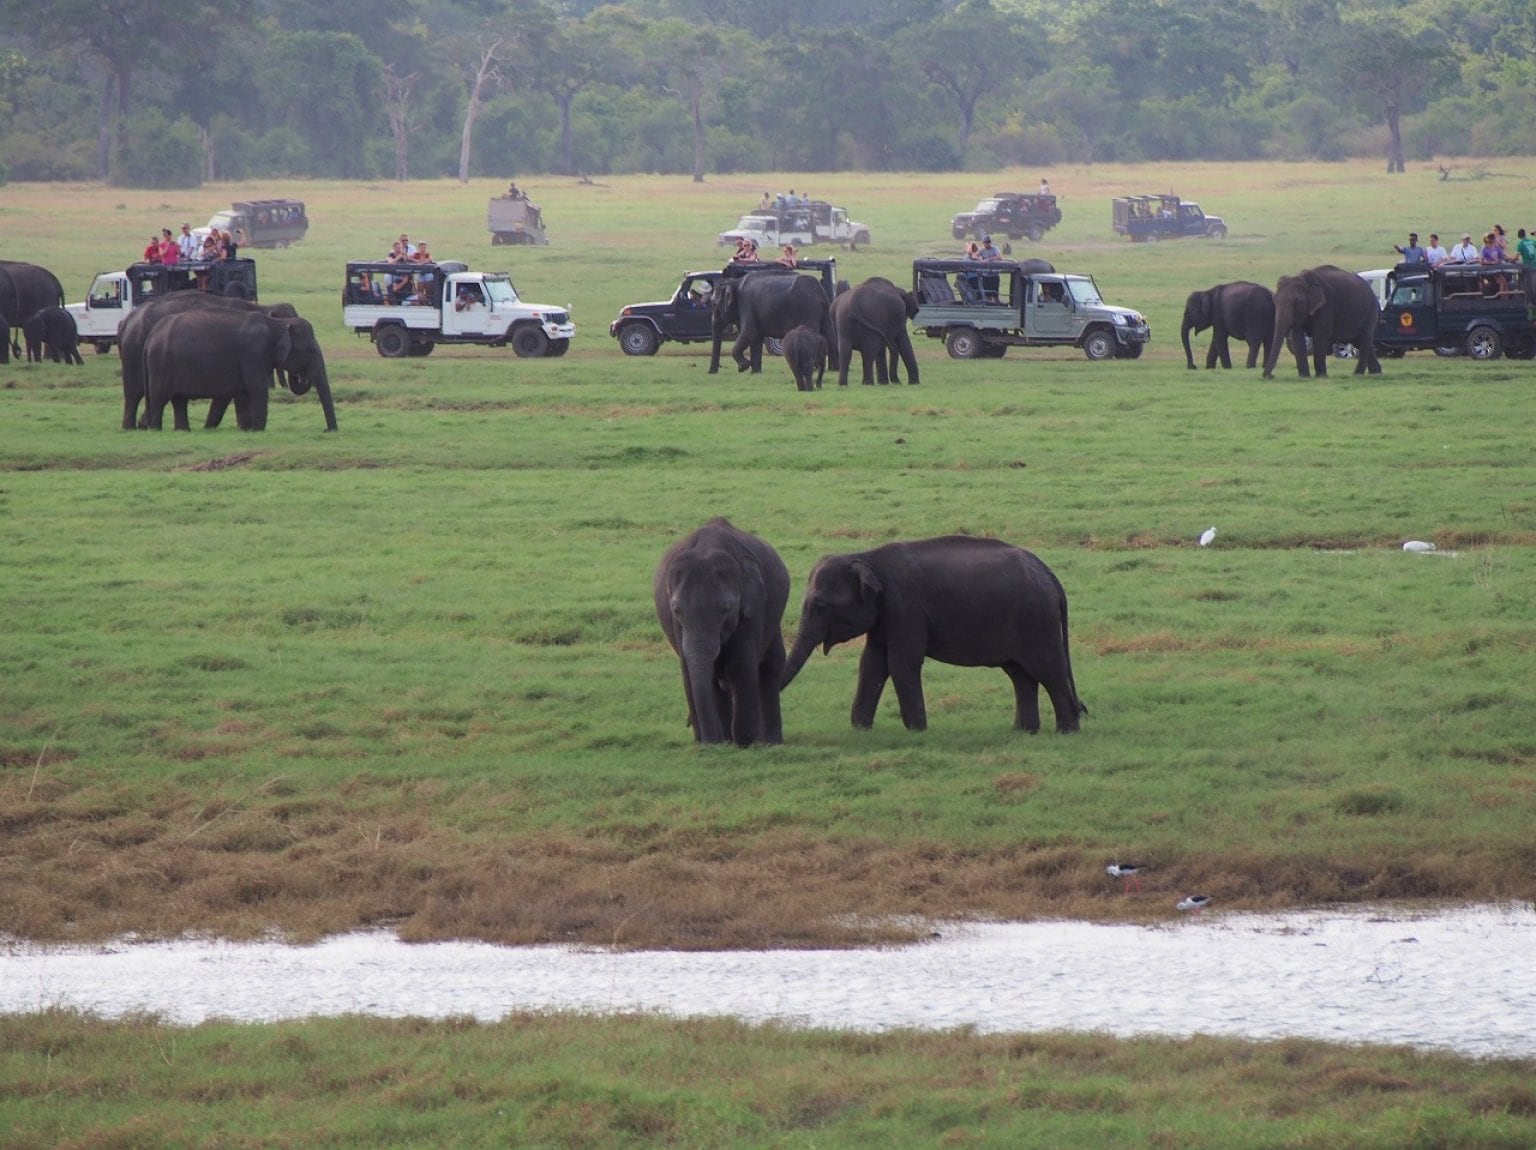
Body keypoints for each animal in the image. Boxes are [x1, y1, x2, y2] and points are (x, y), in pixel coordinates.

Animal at [142, 305, 336, 429]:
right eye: (310, 350)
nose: (327, 430)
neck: (276, 324)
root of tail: (151, 335)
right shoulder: (253, 355)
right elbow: (257, 390)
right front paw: (258, 430)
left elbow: (233, 394)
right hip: (161, 364)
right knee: (159, 398)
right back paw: (155, 428)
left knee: (179, 400)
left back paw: (182, 430)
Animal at [651, 518, 792, 749]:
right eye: (676, 610)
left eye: (725, 609)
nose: (708, 740)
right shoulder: (676, 624)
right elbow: (691, 669)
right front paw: (717, 743)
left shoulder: (753, 609)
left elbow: (741, 663)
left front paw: (746, 743)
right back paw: (728, 739)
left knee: (771, 665)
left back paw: (769, 742)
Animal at [786, 534, 1087, 730]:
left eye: (821, 607)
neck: (866, 557)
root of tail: (1051, 577)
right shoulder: (887, 615)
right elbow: (871, 663)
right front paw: (860, 729)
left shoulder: (906, 607)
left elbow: (901, 662)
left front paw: (917, 730)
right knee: (1020, 675)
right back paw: (1024, 731)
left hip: (1036, 620)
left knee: (1048, 670)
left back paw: (1066, 731)